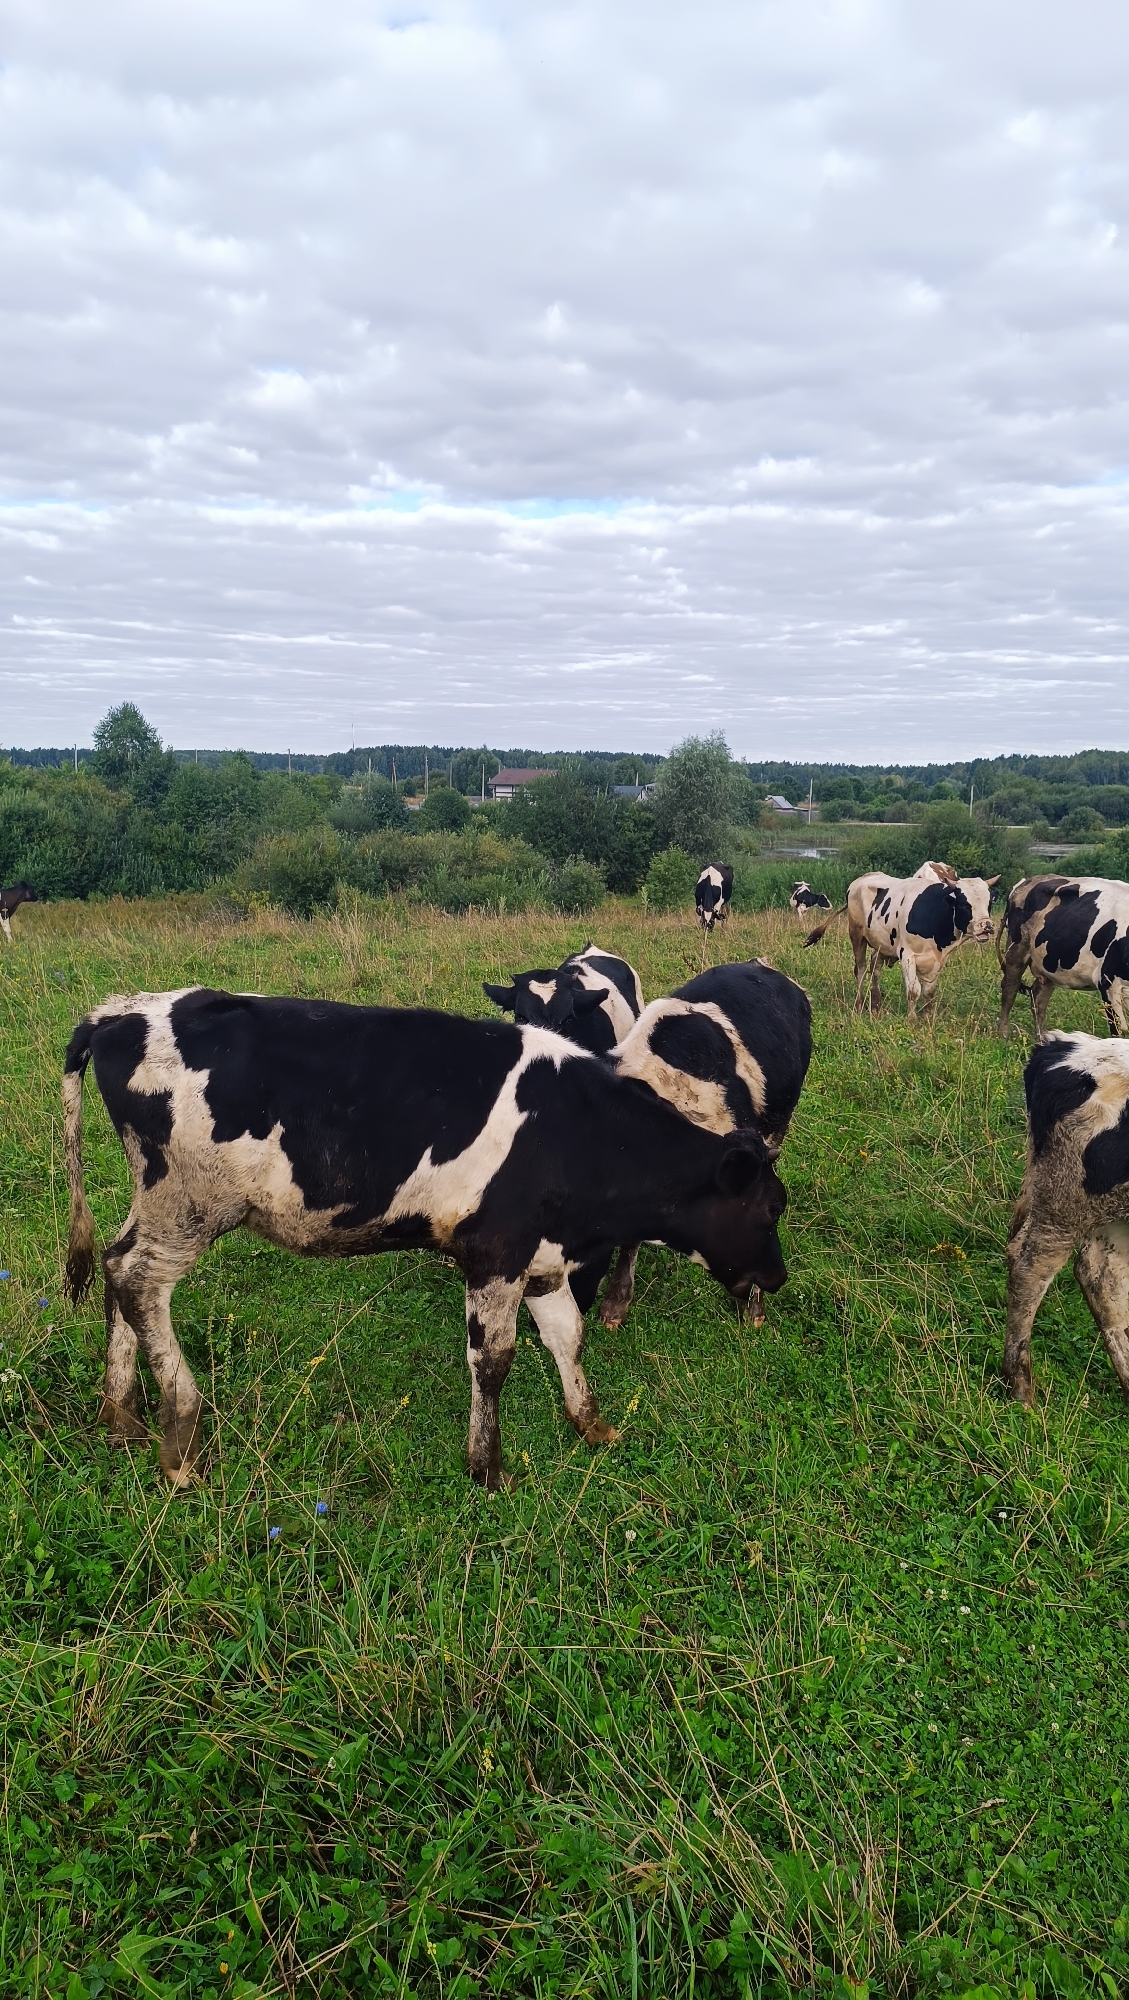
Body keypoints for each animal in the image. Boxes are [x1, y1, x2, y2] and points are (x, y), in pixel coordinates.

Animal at [62, 987, 788, 1490]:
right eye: (768, 1209)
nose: (777, 1278)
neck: (578, 1131)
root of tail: (123, 1010)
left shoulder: (541, 1255)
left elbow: (568, 1337)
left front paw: (590, 1423)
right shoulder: (495, 1251)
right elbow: (494, 1361)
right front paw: (488, 1467)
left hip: (158, 1200)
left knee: (117, 1267)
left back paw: (121, 1416)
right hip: (191, 1203)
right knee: (138, 1279)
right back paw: (179, 1439)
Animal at [804, 862, 998, 1018]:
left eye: (989, 903)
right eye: (964, 904)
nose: (987, 925)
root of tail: (861, 879)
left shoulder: (938, 959)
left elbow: (929, 992)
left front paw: (926, 1018)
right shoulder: (907, 955)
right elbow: (913, 990)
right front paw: (912, 1021)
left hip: (881, 943)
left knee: (875, 967)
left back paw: (875, 1004)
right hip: (857, 936)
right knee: (860, 970)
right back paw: (859, 1005)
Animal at [998, 876, 1129, 1041]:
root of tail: (1029, 880)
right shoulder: (1108, 982)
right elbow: (1117, 1030)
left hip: (1048, 962)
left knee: (1038, 997)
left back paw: (1043, 1037)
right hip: (1017, 948)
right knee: (1010, 988)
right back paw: (1003, 1034)